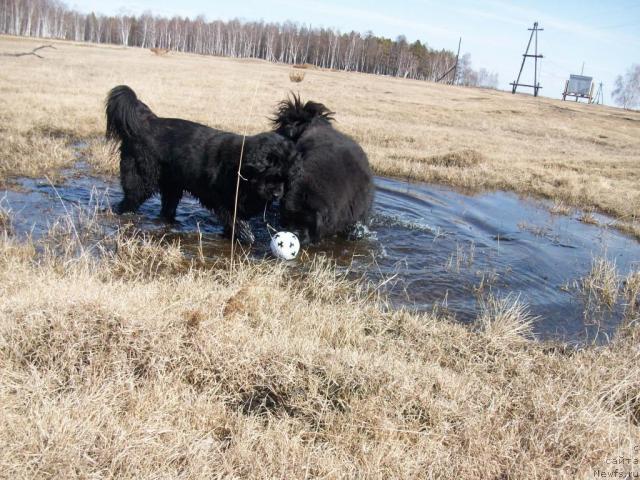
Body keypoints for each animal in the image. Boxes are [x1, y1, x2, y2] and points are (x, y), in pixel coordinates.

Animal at [105, 85, 298, 244]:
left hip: (172, 186)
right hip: (142, 181)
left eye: (285, 179)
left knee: (167, 206)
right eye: (271, 175)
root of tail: (146, 122)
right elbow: (239, 224)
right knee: (129, 200)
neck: (241, 169)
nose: (277, 194)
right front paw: (248, 240)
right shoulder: (226, 204)